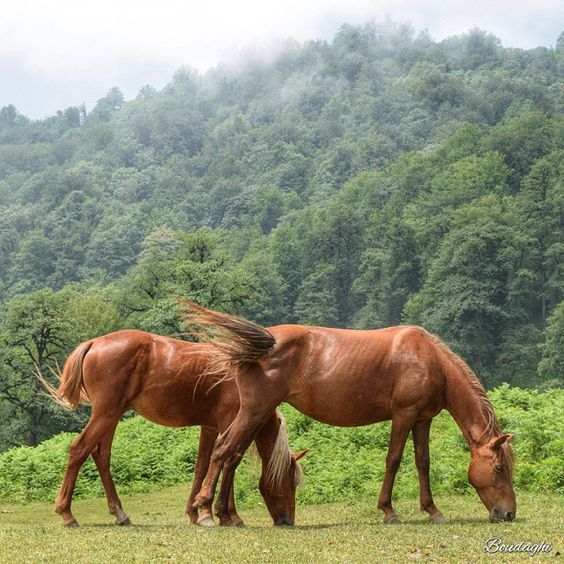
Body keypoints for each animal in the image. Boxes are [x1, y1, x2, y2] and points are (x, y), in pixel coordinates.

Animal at [39, 330, 304, 528]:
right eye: (291, 481)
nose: (287, 520)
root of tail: (94, 343)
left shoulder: (209, 428)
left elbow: (202, 467)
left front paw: (197, 512)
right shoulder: (229, 423)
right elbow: (228, 462)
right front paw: (224, 515)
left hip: (110, 417)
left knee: (101, 456)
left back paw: (120, 513)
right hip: (105, 415)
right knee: (79, 449)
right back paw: (67, 513)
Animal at [184, 306, 516, 528]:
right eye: (499, 468)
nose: (509, 513)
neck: (428, 359)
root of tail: (262, 343)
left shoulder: (423, 419)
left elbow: (423, 462)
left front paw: (433, 511)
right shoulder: (404, 415)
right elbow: (394, 459)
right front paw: (389, 511)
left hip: (258, 414)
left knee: (233, 457)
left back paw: (227, 515)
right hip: (254, 411)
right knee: (223, 451)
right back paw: (206, 510)